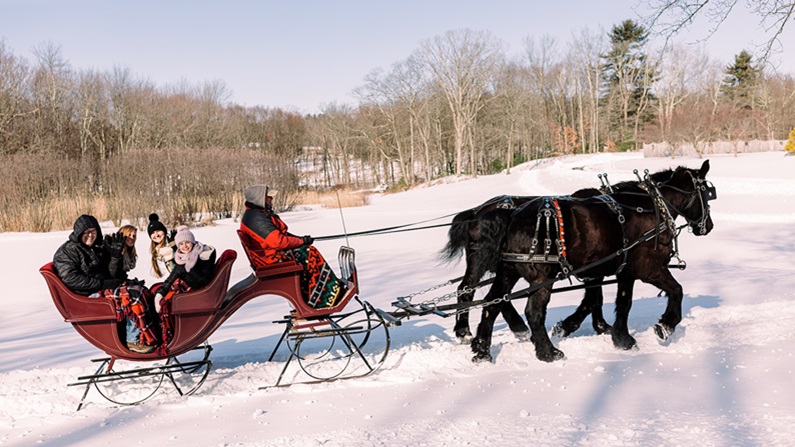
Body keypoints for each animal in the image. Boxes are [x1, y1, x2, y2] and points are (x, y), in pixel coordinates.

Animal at [470, 161, 720, 364]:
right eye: (706, 193)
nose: (708, 226)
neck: (653, 206)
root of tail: (513, 215)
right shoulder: (649, 268)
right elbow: (676, 290)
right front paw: (666, 326)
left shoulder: (619, 271)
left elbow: (619, 302)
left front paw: (620, 338)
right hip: (541, 277)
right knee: (533, 312)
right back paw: (548, 353)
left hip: (508, 271)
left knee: (491, 304)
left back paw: (482, 351)